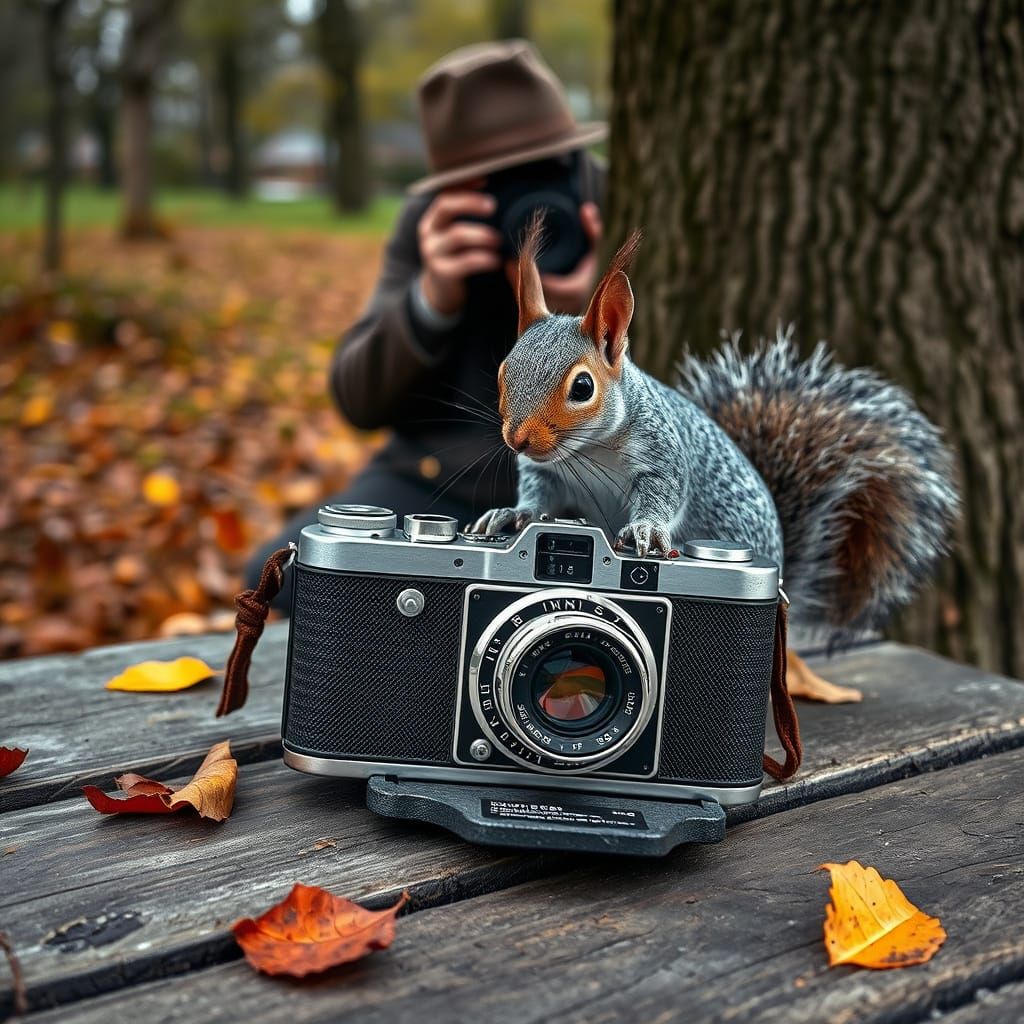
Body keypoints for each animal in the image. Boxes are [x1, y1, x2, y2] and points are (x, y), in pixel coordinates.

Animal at [469, 217, 960, 703]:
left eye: (583, 387)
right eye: (502, 372)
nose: (518, 439)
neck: (587, 452)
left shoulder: (663, 454)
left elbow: (664, 493)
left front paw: (646, 531)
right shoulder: (547, 472)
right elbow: (538, 497)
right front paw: (511, 515)